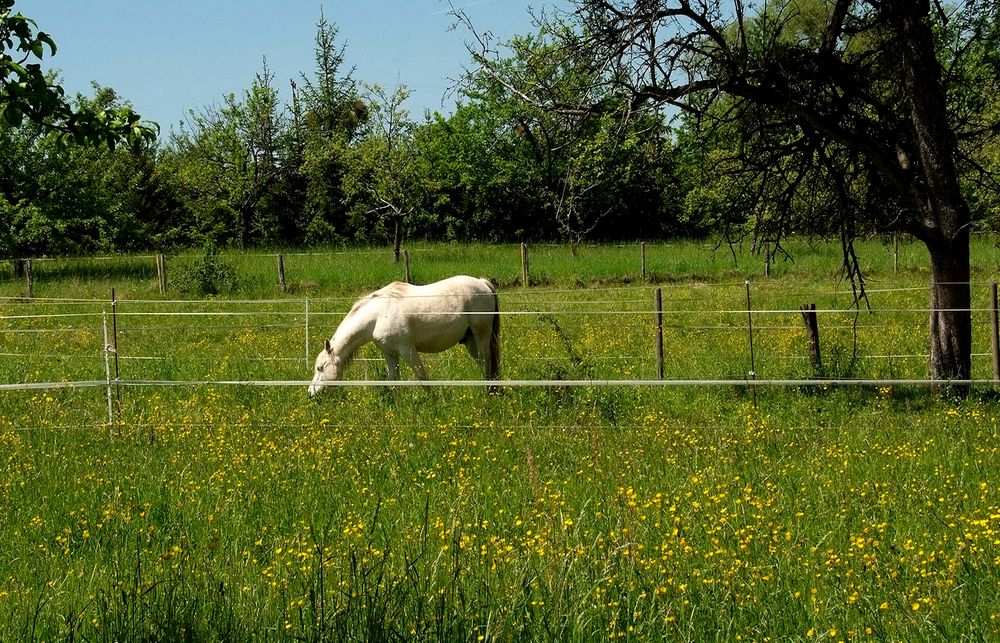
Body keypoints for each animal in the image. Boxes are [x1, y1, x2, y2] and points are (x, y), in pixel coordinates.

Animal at [306, 274, 498, 394]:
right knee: (483, 365)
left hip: (481, 337)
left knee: (487, 363)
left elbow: (423, 378)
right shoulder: (389, 354)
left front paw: (434, 404)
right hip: (470, 341)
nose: (311, 393)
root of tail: (482, 283)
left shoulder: (408, 351)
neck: (378, 316)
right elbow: (394, 382)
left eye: (320, 367)